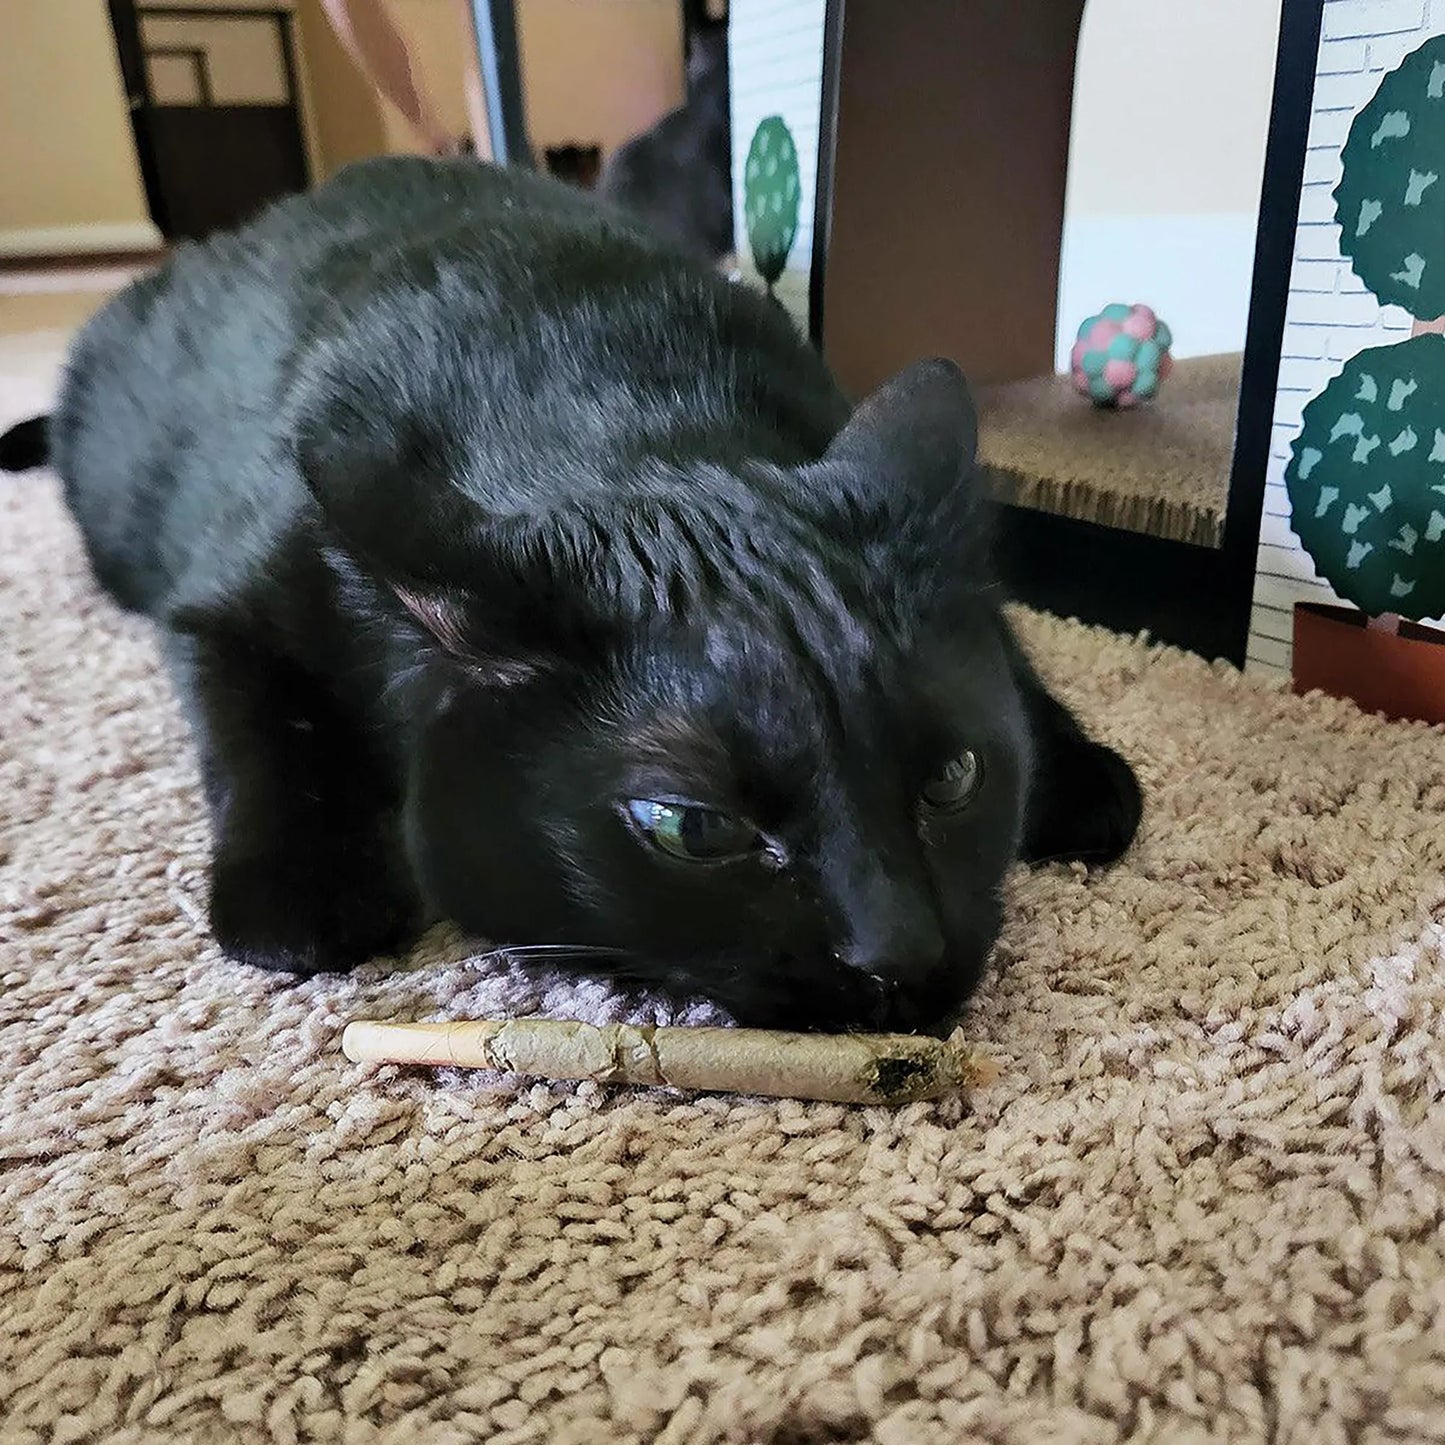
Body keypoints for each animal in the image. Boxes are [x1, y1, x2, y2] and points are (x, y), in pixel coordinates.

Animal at [2, 158, 1138, 1034]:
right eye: (693, 830)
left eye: (952, 776)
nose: (898, 953)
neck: (612, 405)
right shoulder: (223, 603)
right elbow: (251, 729)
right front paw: (300, 891)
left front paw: (1077, 773)